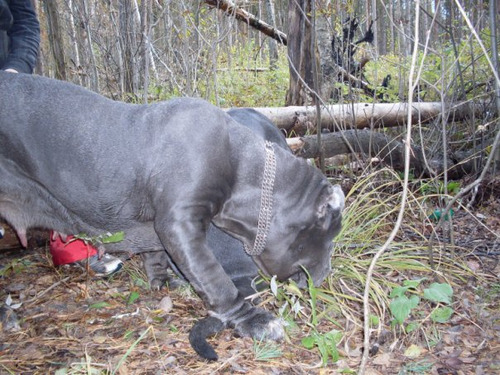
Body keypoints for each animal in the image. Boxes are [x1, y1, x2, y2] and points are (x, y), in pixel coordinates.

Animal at [0, 72, 344, 358]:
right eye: (331, 236)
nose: (327, 274)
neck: (244, 171)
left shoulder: (157, 226)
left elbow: (156, 254)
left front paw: (161, 280)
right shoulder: (179, 222)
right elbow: (214, 277)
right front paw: (253, 320)